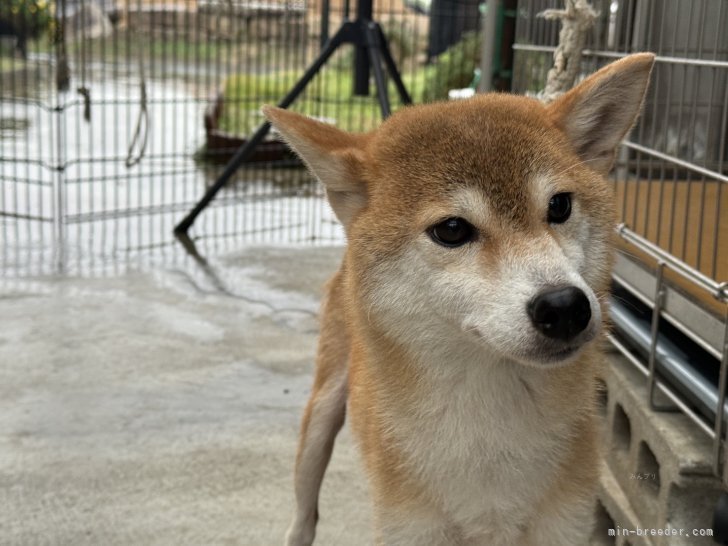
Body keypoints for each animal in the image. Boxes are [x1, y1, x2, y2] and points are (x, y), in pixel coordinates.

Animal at [264, 52, 656, 544]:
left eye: (560, 205)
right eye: (452, 229)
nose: (565, 306)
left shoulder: (565, 521)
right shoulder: (411, 525)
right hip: (320, 417)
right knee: (305, 512)